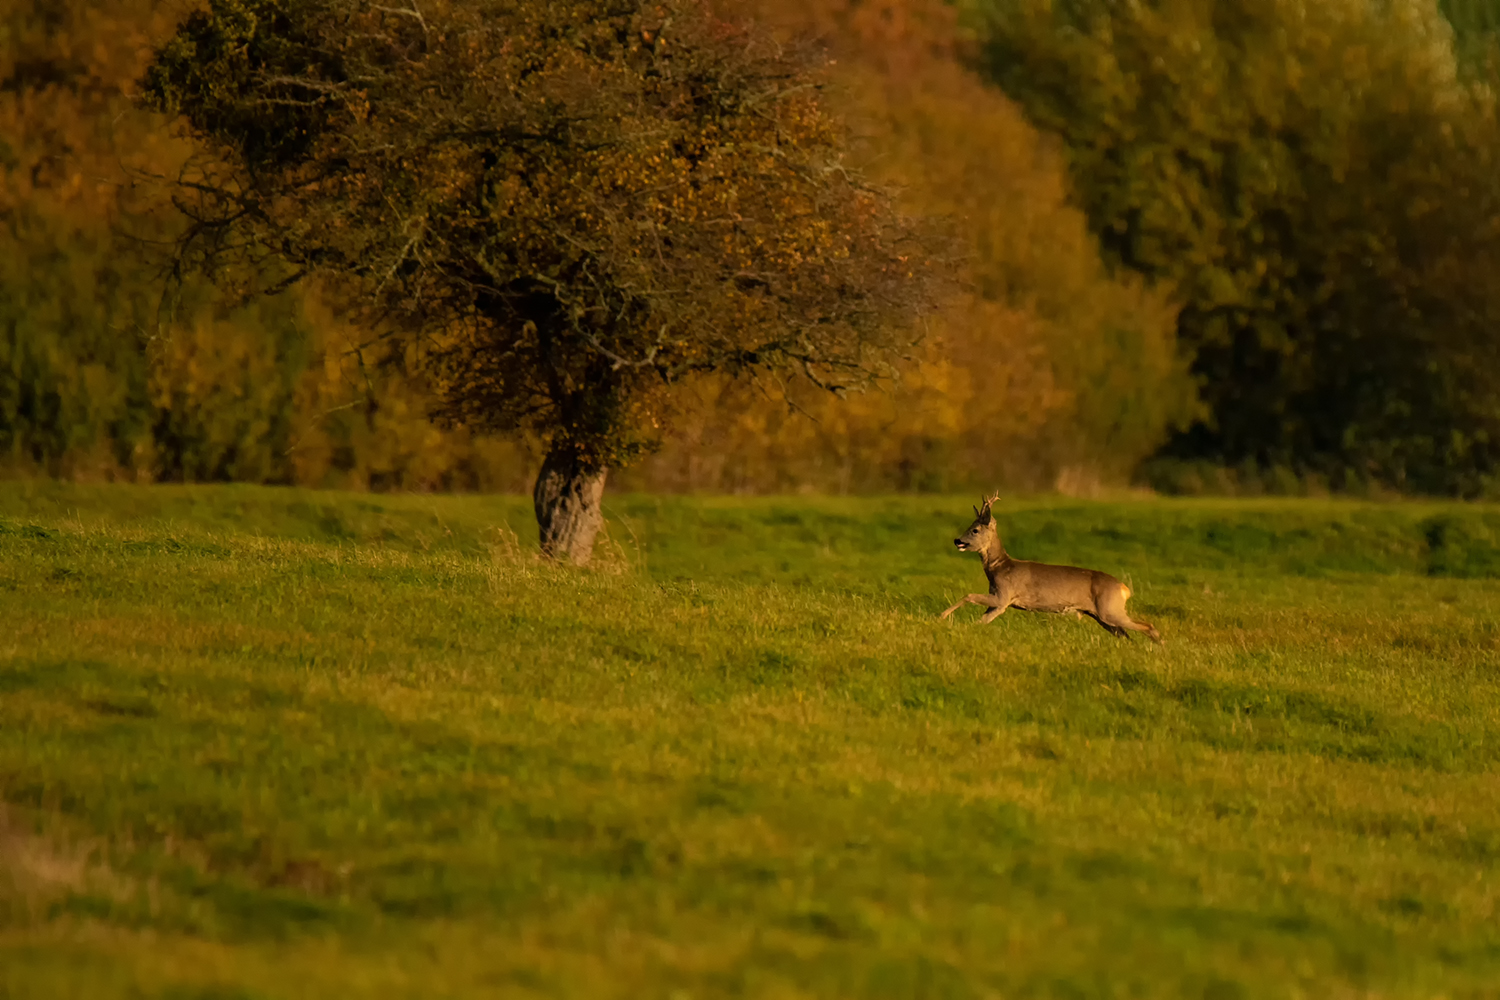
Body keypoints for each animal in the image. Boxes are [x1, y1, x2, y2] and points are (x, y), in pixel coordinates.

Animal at [936, 491, 1158, 641]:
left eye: (974, 530)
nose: (957, 540)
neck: (1000, 567)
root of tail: (1124, 588)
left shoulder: (1004, 596)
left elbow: (969, 595)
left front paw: (941, 617)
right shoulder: (999, 602)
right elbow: (981, 621)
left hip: (1110, 609)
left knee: (1148, 626)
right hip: (1102, 616)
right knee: (1125, 635)